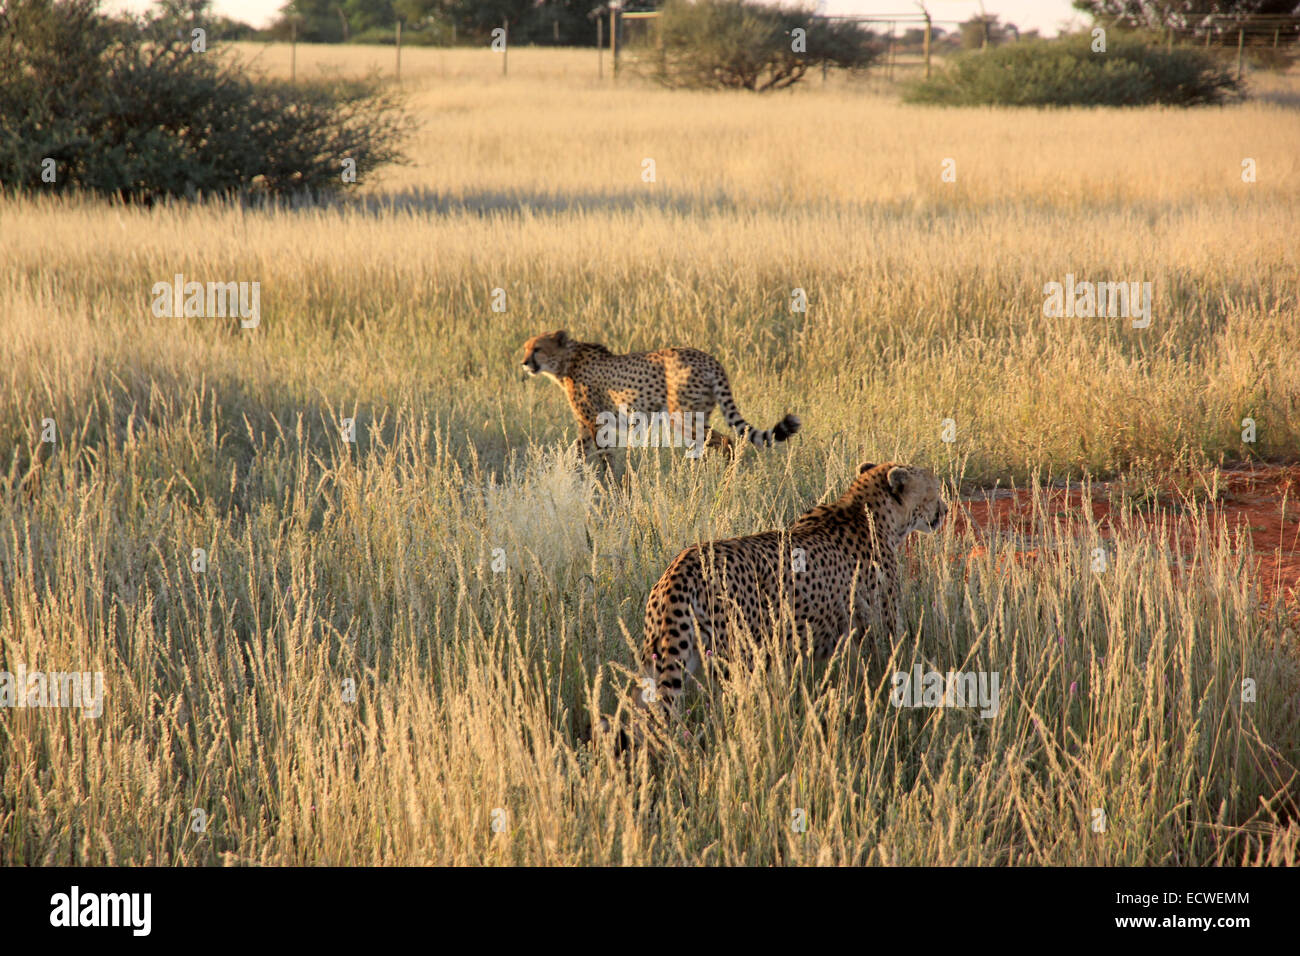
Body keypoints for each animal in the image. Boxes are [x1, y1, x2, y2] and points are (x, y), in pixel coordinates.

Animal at [522, 332, 795, 460]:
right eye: (526, 348)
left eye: (537, 349)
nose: (524, 363)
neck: (566, 361)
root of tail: (708, 357)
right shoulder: (587, 425)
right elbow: (577, 453)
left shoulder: (595, 423)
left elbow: (602, 457)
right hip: (699, 413)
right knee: (713, 442)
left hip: (682, 416)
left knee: (726, 441)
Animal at [631, 460, 946, 723]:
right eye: (935, 489)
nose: (944, 510)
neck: (867, 511)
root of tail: (680, 564)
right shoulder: (877, 629)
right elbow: (886, 668)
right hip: (739, 662)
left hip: (661, 659)